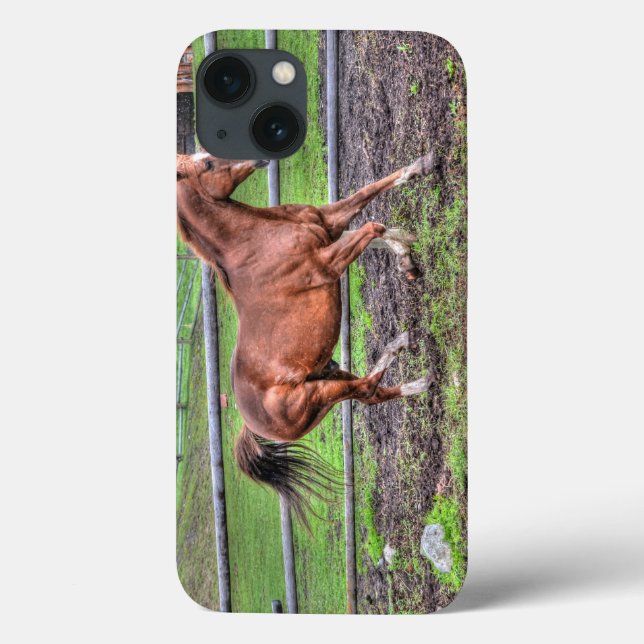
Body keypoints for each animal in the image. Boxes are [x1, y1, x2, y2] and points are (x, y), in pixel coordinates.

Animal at [176, 150, 437, 525]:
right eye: (208, 165)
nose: (258, 156)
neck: (254, 242)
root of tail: (250, 421)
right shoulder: (328, 262)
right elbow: (373, 227)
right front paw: (408, 251)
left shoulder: (328, 222)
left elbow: (370, 200)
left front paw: (421, 170)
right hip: (318, 394)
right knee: (367, 389)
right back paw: (407, 351)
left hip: (327, 375)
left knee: (372, 395)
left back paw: (416, 376)